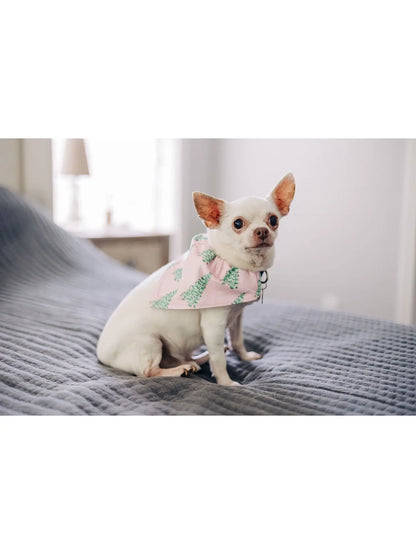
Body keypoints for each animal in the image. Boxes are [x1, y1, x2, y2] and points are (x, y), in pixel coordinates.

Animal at [96, 172, 294, 384]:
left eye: (273, 220)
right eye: (238, 224)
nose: (262, 230)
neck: (232, 263)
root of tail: (102, 355)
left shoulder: (237, 316)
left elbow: (237, 340)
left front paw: (245, 356)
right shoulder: (213, 325)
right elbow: (219, 359)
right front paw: (226, 383)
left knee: (183, 357)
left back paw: (197, 360)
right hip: (150, 343)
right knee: (149, 372)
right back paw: (181, 370)